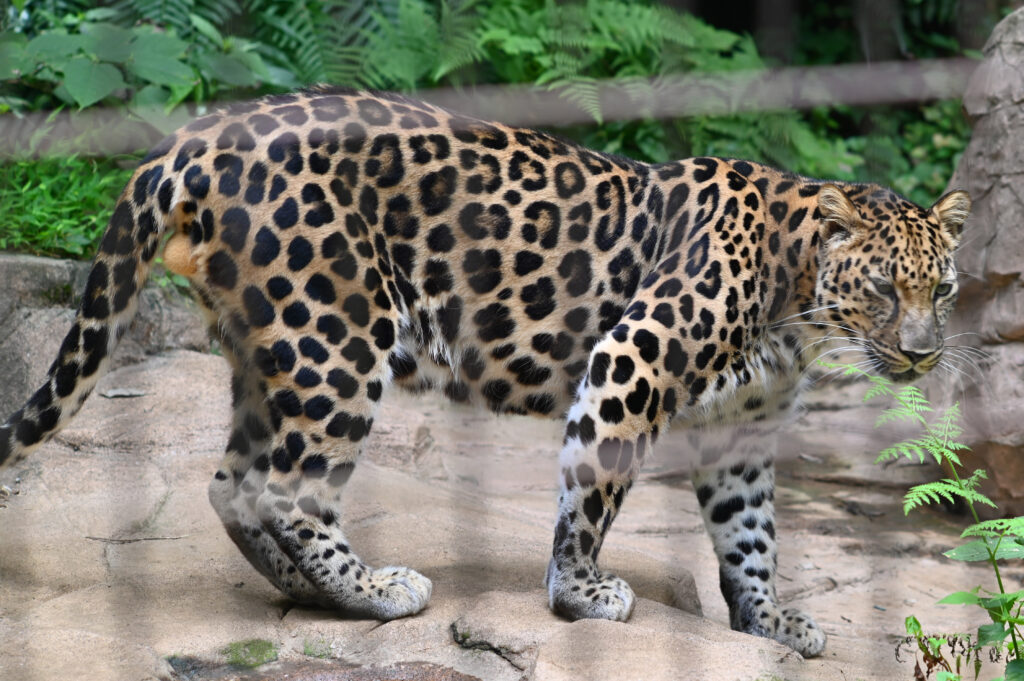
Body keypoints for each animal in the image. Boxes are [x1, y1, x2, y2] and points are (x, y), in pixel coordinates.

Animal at [0, 86, 970, 658]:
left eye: (944, 288)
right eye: (884, 288)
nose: (924, 352)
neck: (796, 300)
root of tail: (194, 139)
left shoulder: (741, 430)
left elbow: (752, 532)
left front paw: (770, 617)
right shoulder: (633, 357)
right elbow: (591, 491)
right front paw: (580, 591)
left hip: (268, 342)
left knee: (232, 480)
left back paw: (313, 594)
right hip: (336, 335)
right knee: (282, 485)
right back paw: (375, 589)